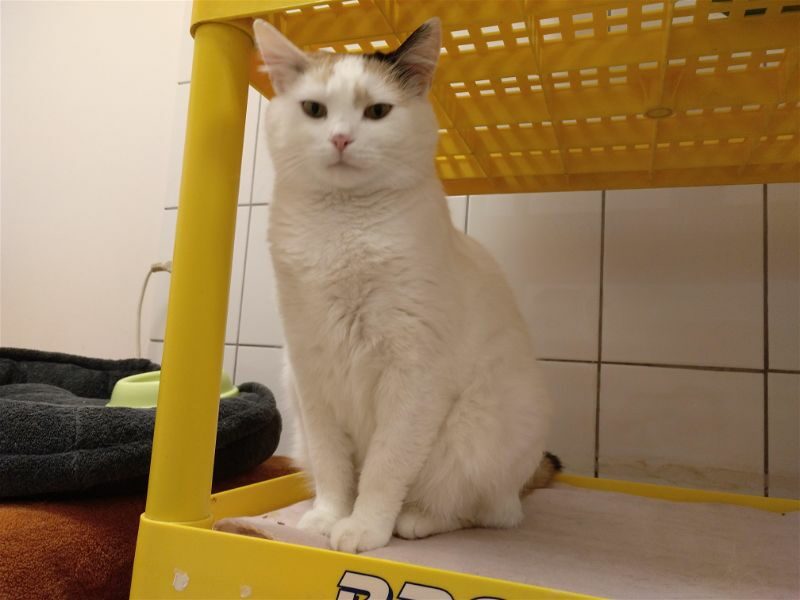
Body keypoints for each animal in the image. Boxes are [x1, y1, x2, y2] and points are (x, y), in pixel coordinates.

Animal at [253, 17, 558, 554]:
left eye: (377, 111)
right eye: (314, 109)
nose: (340, 139)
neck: (342, 227)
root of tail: (525, 479)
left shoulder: (413, 373)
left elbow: (385, 465)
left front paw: (364, 527)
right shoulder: (311, 370)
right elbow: (334, 465)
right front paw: (328, 517)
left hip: (475, 432)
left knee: (485, 512)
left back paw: (414, 519)